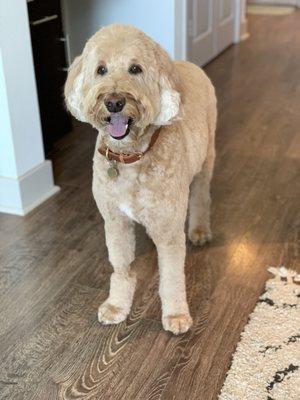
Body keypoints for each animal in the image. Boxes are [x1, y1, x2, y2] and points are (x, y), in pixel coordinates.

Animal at [65, 24, 216, 334]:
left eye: (135, 69)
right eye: (101, 69)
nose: (114, 102)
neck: (130, 156)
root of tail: (188, 64)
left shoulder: (169, 231)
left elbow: (172, 277)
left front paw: (176, 314)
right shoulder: (115, 221)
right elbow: (121, 268)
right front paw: (116, 306)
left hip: (206, 160)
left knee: (201, 197)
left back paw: (199, 230)